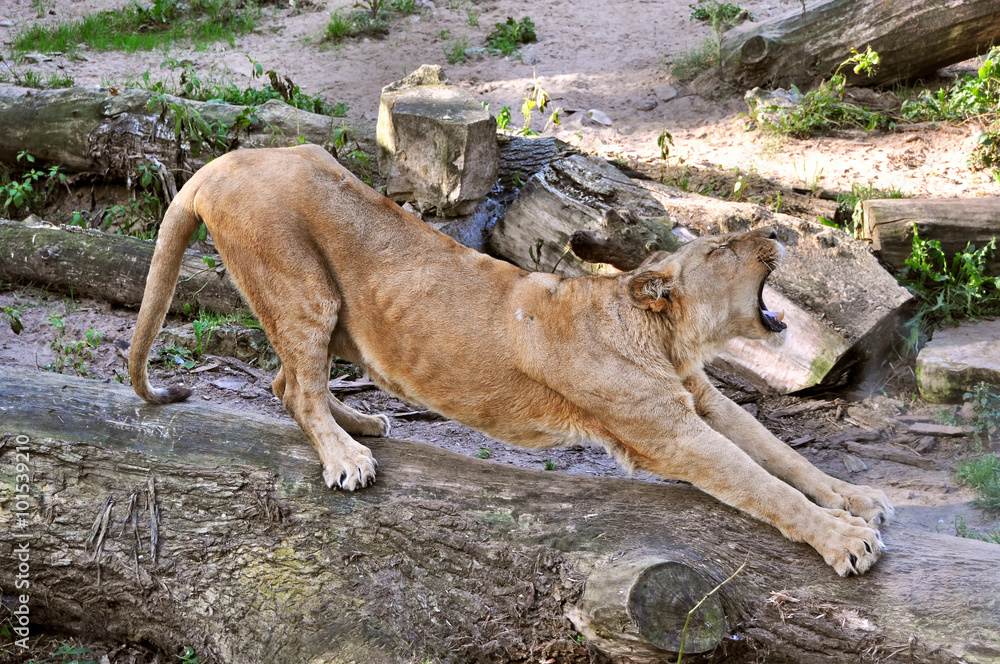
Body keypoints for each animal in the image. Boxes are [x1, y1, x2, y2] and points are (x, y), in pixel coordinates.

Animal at [130, 144, 893, 576]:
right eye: (723, 250)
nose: (776, 232)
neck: (663, 338)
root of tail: (216, 166)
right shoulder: (668, 432)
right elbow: (763, 486)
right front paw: (844, 541)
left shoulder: (700, 401)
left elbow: (782, 455)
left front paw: (856, 499)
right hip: (299, 285)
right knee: (296, 387)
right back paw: (347, 456)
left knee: (284, 377)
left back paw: (363, 425)